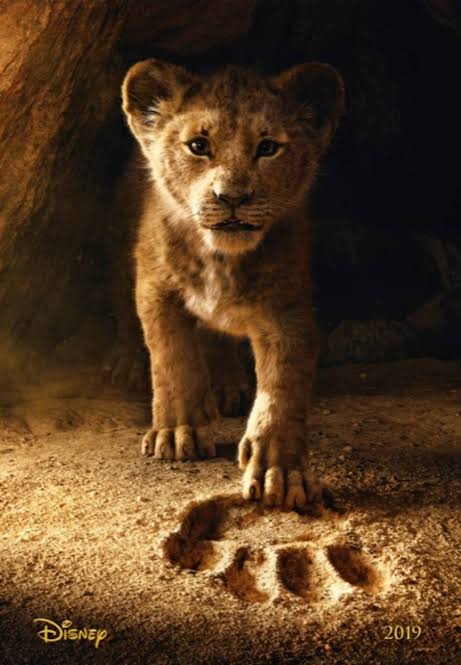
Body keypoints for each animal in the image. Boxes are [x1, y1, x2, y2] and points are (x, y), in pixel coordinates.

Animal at [120, 58, 345, 509]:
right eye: (198, 145)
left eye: (268, 147)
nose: (232, 197)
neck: (221, 258)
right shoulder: (155, 288)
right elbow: (172, 358)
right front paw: (178, 431)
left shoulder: (288, 311)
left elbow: (282, 388)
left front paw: (281, 471)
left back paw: (228, 387)